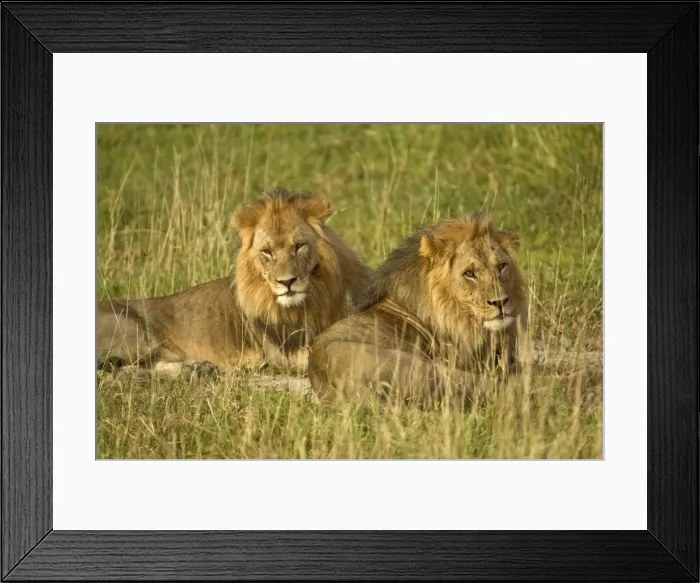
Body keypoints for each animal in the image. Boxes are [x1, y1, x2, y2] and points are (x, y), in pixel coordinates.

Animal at [97, 187, 374, 379]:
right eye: (267, 252)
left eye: (299, 246)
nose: (287, 282)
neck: (317, 294)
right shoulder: (283, 352)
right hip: (136, 336)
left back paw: (198, 370)